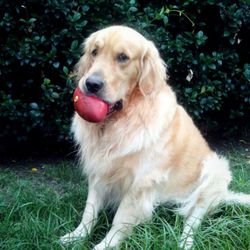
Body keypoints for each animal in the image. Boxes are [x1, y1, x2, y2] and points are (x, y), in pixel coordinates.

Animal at [61, 25, 250, 250]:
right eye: (94, 52)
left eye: (123, 57)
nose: (91, 84)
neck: (119, 122)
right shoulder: (98, 170)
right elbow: (89, 210)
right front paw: (76, 236)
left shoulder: (141, 182)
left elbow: (120, 219)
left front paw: (104, 245)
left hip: (215, 171)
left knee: (193, 219)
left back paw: (185, 242)